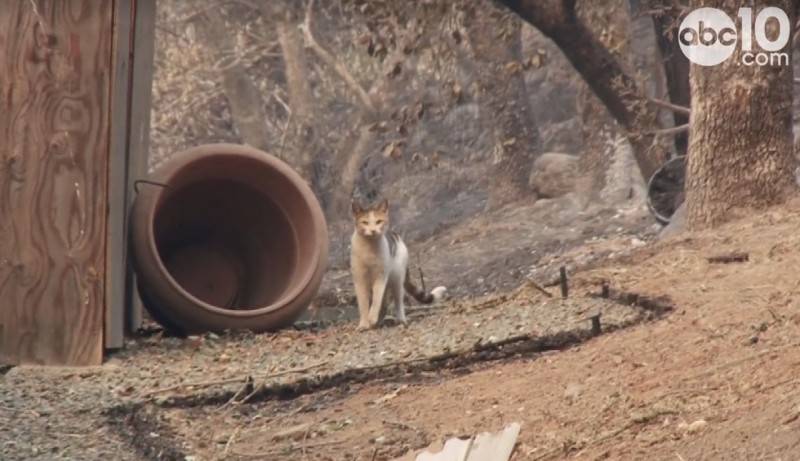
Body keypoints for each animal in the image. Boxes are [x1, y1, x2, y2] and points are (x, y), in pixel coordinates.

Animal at [350, 199, 446, 328]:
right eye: (365, 222)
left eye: (378, 221)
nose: (373, 230)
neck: (369, 248)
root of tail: (399, 239)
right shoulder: (359, 279)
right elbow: (363, 303)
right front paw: (364, 324)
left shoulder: (381, 276)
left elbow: (376, 300)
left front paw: (372, 318)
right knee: (384, 302)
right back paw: (379, 321)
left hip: (396, 278)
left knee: (398, 301)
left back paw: (400, 320)